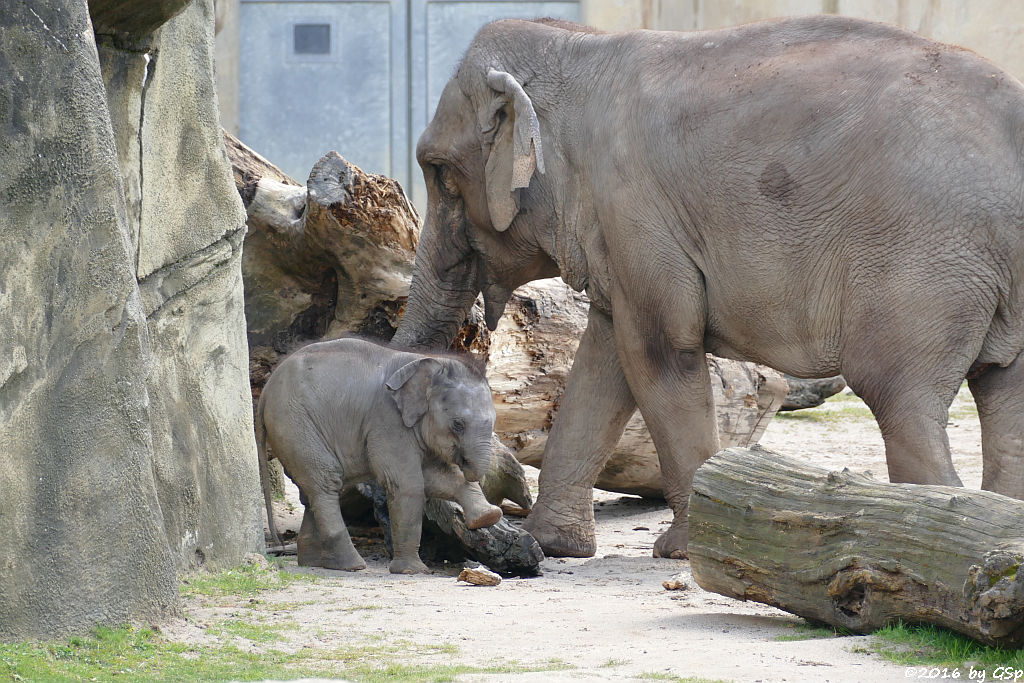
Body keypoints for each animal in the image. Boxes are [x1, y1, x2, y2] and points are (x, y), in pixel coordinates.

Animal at [256, 339, 503, 573]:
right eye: (458, 424)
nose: (468, 465)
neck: (428, 360)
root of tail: (264, 392)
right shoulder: (387, 421)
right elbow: (409, 484)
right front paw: (412, 571)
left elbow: (440, 478)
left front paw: (489, 516)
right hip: (294, 424)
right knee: (325, 483)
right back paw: (353, 565)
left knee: (312, 492)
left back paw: (316, 562)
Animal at [391, 15, 1024, 561]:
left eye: (439, 173)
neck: (580, 45)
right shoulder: (619, 232)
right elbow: (605, 361)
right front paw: (553, 546)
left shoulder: (637, 210)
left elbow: (658, 355)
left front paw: (681, 550)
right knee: (1004, 393)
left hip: (923, 262)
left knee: (898, 395)